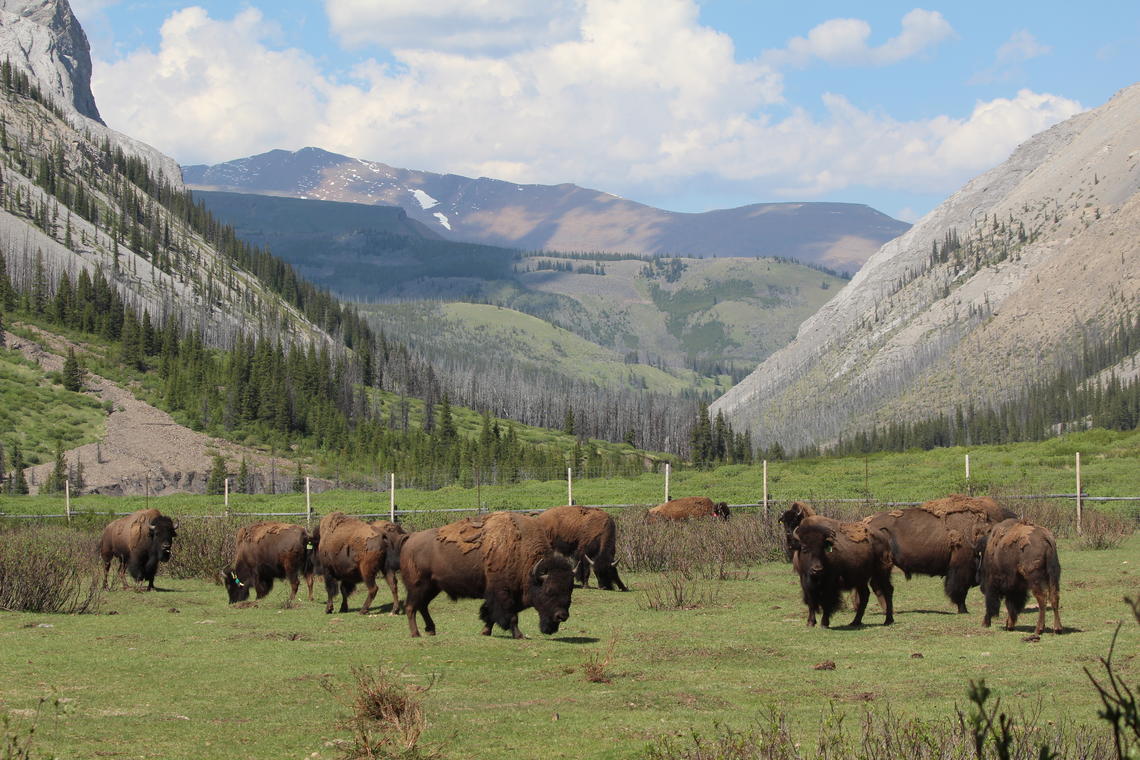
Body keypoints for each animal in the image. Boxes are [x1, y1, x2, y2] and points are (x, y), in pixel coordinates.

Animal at [403, 510, 579, 642]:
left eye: (570, 590)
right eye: (549, 590)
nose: (562, 616)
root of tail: (410, 539)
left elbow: (490, 615)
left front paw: (485, 631)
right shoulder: (502, 594)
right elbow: (510, 616)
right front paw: (519, 635)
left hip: (432, 587)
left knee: (422, 606)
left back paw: (431, 630)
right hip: (418, 586)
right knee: (411, 607)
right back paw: (415, 634)